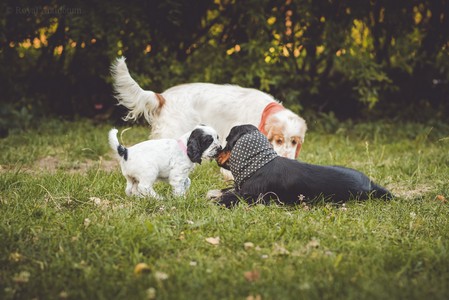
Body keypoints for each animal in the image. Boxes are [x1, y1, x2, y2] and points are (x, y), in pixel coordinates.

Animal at [208, 124, 390, 206]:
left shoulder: (251, 196)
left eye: (227, 141)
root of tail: (371, 184)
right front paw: (213, 193)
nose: (217, 151)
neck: (259, 163)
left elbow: (231, 196)